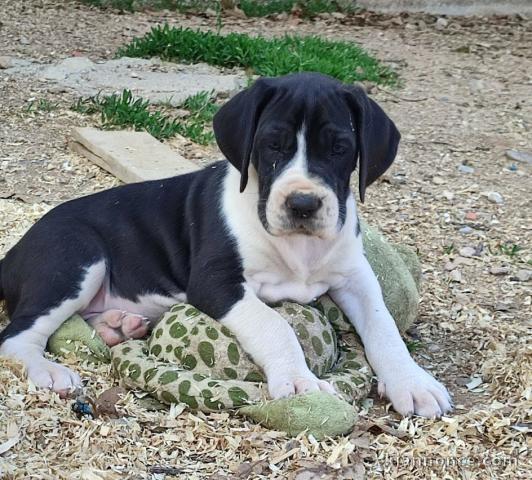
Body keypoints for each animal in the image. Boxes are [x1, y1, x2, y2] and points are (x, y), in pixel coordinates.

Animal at [0, 73, 454, 418]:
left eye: (340, 149)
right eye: (272, 145)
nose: (302, 203)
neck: (299, 249)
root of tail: (14, 251)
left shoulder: (355, 275)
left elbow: (383, 325)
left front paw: (413, 383)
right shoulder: (216, 282)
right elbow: (275, 325)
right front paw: (299, 381)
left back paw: (118, 326)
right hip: (77, 259)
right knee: (15, 336)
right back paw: (49, 371)